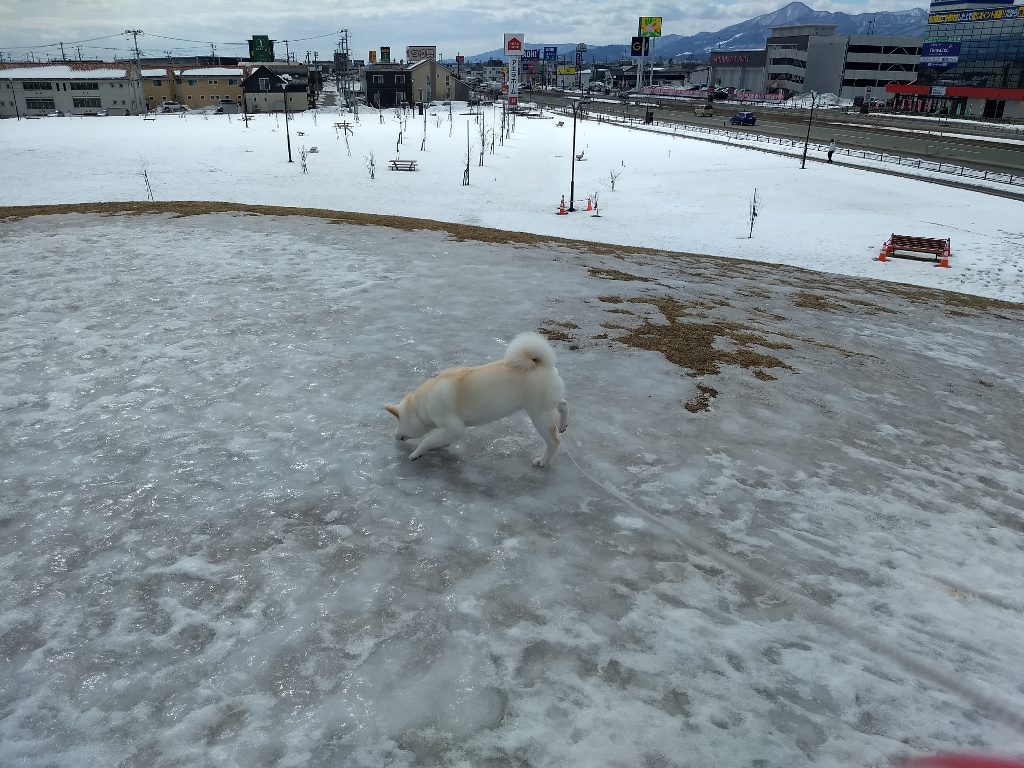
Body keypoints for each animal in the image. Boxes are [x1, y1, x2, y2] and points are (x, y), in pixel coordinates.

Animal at [387, 331, 573, 468]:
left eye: (398, 421)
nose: (395, 436)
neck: (422, 405)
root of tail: (542, 363)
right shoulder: (449, 431)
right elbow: (438, 440)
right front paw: (440, 446)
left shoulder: (454, 428)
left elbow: (427, 439)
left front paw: (416, 453)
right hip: (548, 404)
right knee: (563, 403)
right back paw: (563, 425)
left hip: (539, 415)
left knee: (554, 441)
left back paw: (544, 461)